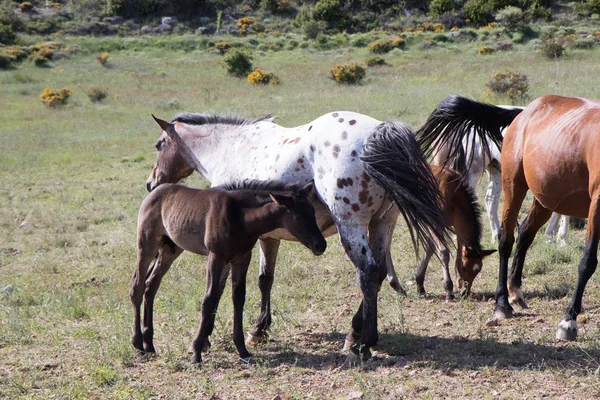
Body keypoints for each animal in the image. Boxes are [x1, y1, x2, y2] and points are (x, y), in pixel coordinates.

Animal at [129, 180, 326, 364]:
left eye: (313, 213)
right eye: (298, 216)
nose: (320, 245)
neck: (240, 217)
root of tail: (153, 193)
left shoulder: (242, 258)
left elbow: (238, 297)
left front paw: (242, 349)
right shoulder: (216, 256)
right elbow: (209, 298)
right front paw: (197, 351)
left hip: (171, 249)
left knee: (151, 285)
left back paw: (149, 344)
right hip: (147, 245)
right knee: (137, 287)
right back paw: (138, 345)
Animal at [146, 113, 450, 360]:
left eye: (159, 145)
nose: (151, 183)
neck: (231, 147)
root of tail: (377, 132)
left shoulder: (226, 248)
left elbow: (219, 289)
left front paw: (206, 339)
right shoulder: (269, 238)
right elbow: (265, 280)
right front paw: (260, 328)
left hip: (351, 227)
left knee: (367, 273)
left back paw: (361, 342)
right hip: (381, 224)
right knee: (379, 274)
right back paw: (358, 335)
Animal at [414, 165, 494, 300]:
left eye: (478, 270)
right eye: (464, 267)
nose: (465, 293)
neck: (454, 195)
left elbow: (430, 248)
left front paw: (420, 285)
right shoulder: (435, 222)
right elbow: (443, 252)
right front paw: (448, 290)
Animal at [428, 104, 568, 245]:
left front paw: (552, 236)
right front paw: (562, 239)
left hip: (495, 169)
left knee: (490, 200)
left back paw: (495, 235)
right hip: (474, 170)